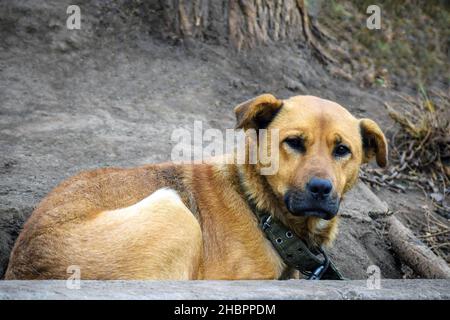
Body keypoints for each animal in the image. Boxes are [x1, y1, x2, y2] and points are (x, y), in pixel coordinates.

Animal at [4, 94, 386, 278]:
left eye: (342, 150)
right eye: (293, 142)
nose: (321, 188)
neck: (259, 209)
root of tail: (19, 265)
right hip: (174, 211)